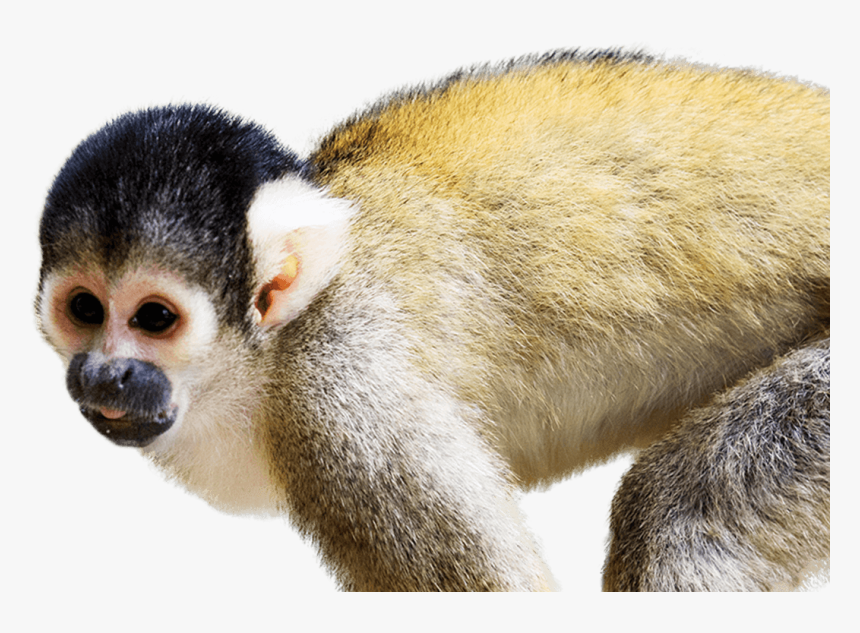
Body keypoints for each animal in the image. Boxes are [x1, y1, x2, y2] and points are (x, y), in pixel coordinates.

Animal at [35, 50, 829, 591]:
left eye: (155, 317)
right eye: (84, 310)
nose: (104, 373)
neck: (271, 351)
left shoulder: (342, 399)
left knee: (679, 520)